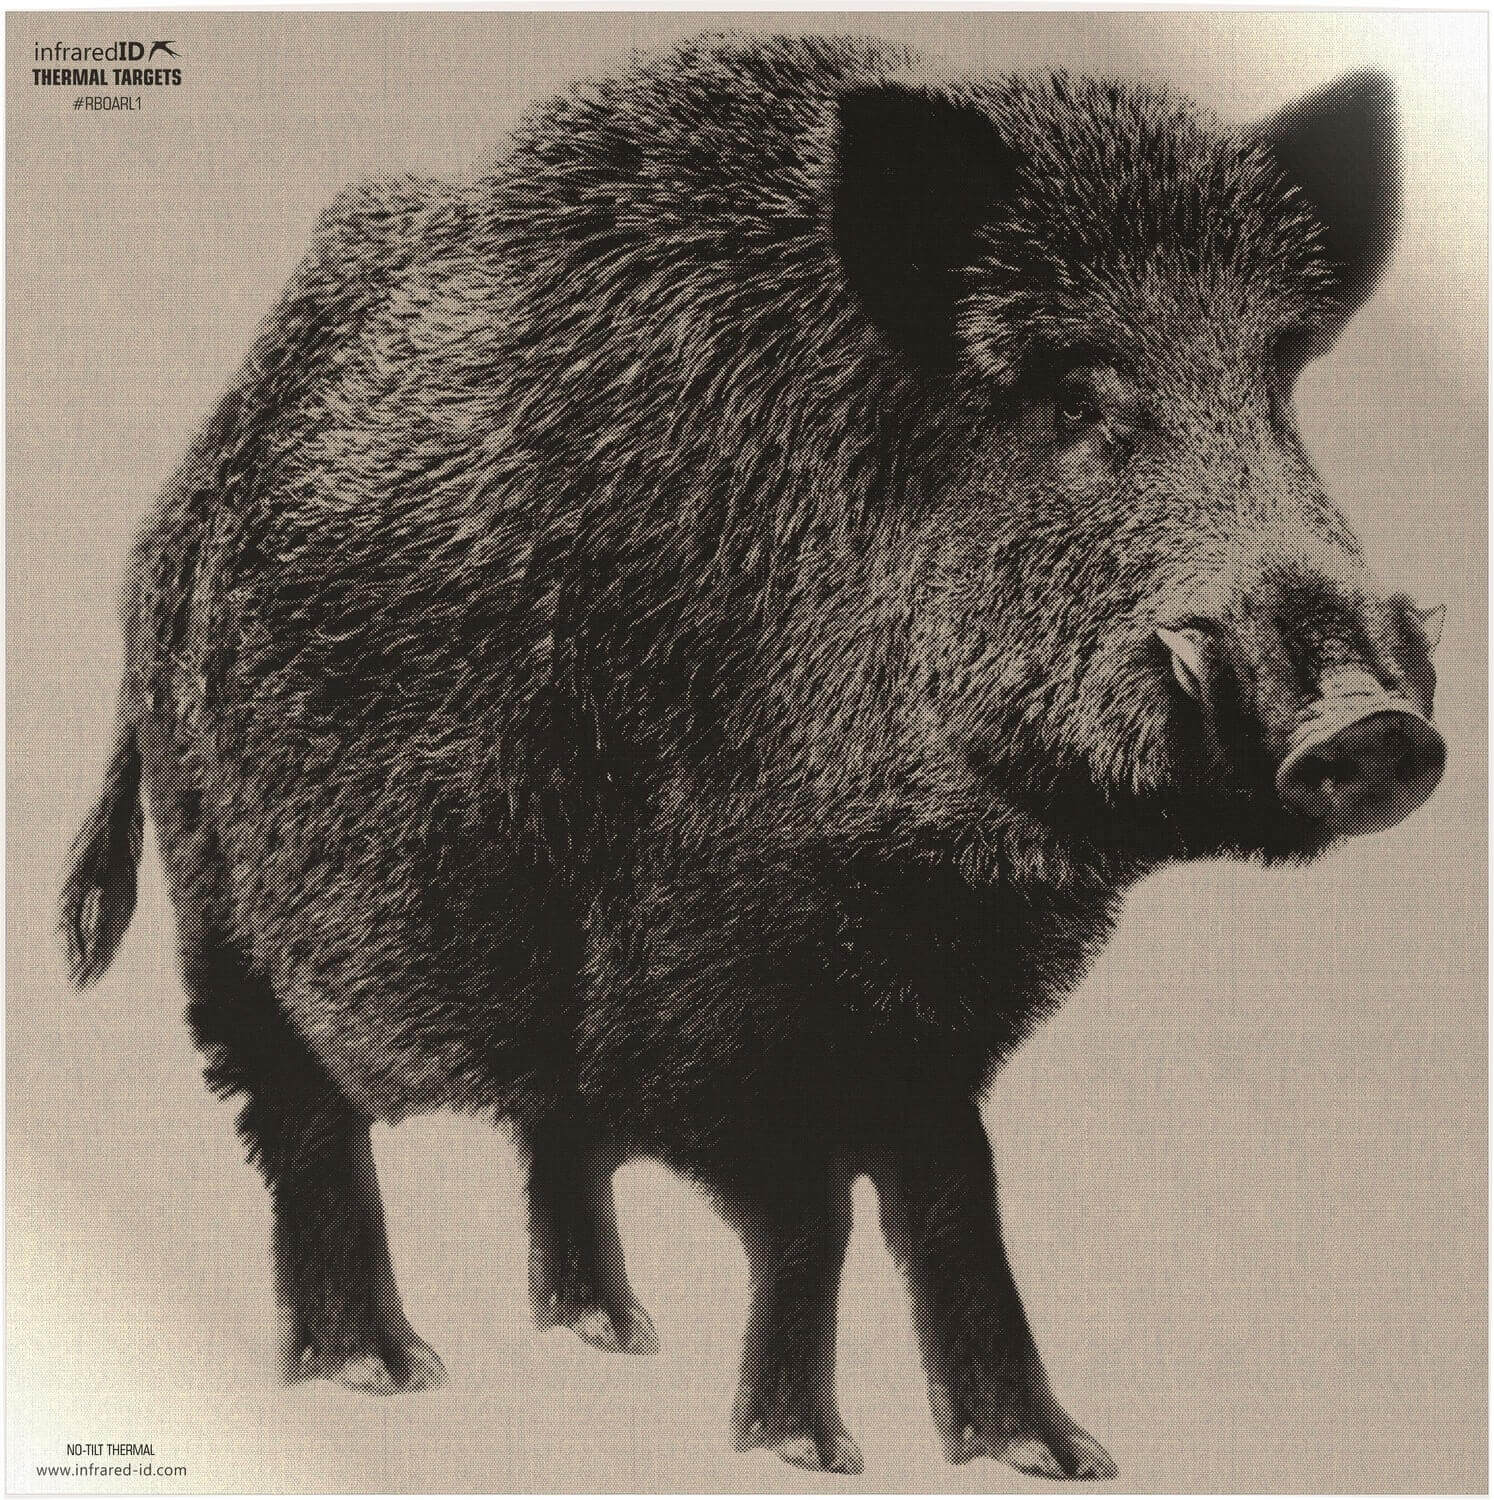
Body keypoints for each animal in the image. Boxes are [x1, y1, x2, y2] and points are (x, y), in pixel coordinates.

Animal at [59, 34, 1445, 1481]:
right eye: (1075, 394)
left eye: (1277, 386)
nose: (1369, 726)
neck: (925, 866)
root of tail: (169, 522)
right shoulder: (712, 990)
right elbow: (811, 1213)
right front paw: (806, 1452)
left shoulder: (932, 1012)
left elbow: (952, 1195)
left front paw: (1054, 1458)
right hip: (220, 887)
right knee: (299, 1120)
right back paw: (382, 1372)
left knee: (548, 1136)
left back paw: (611, 1334)